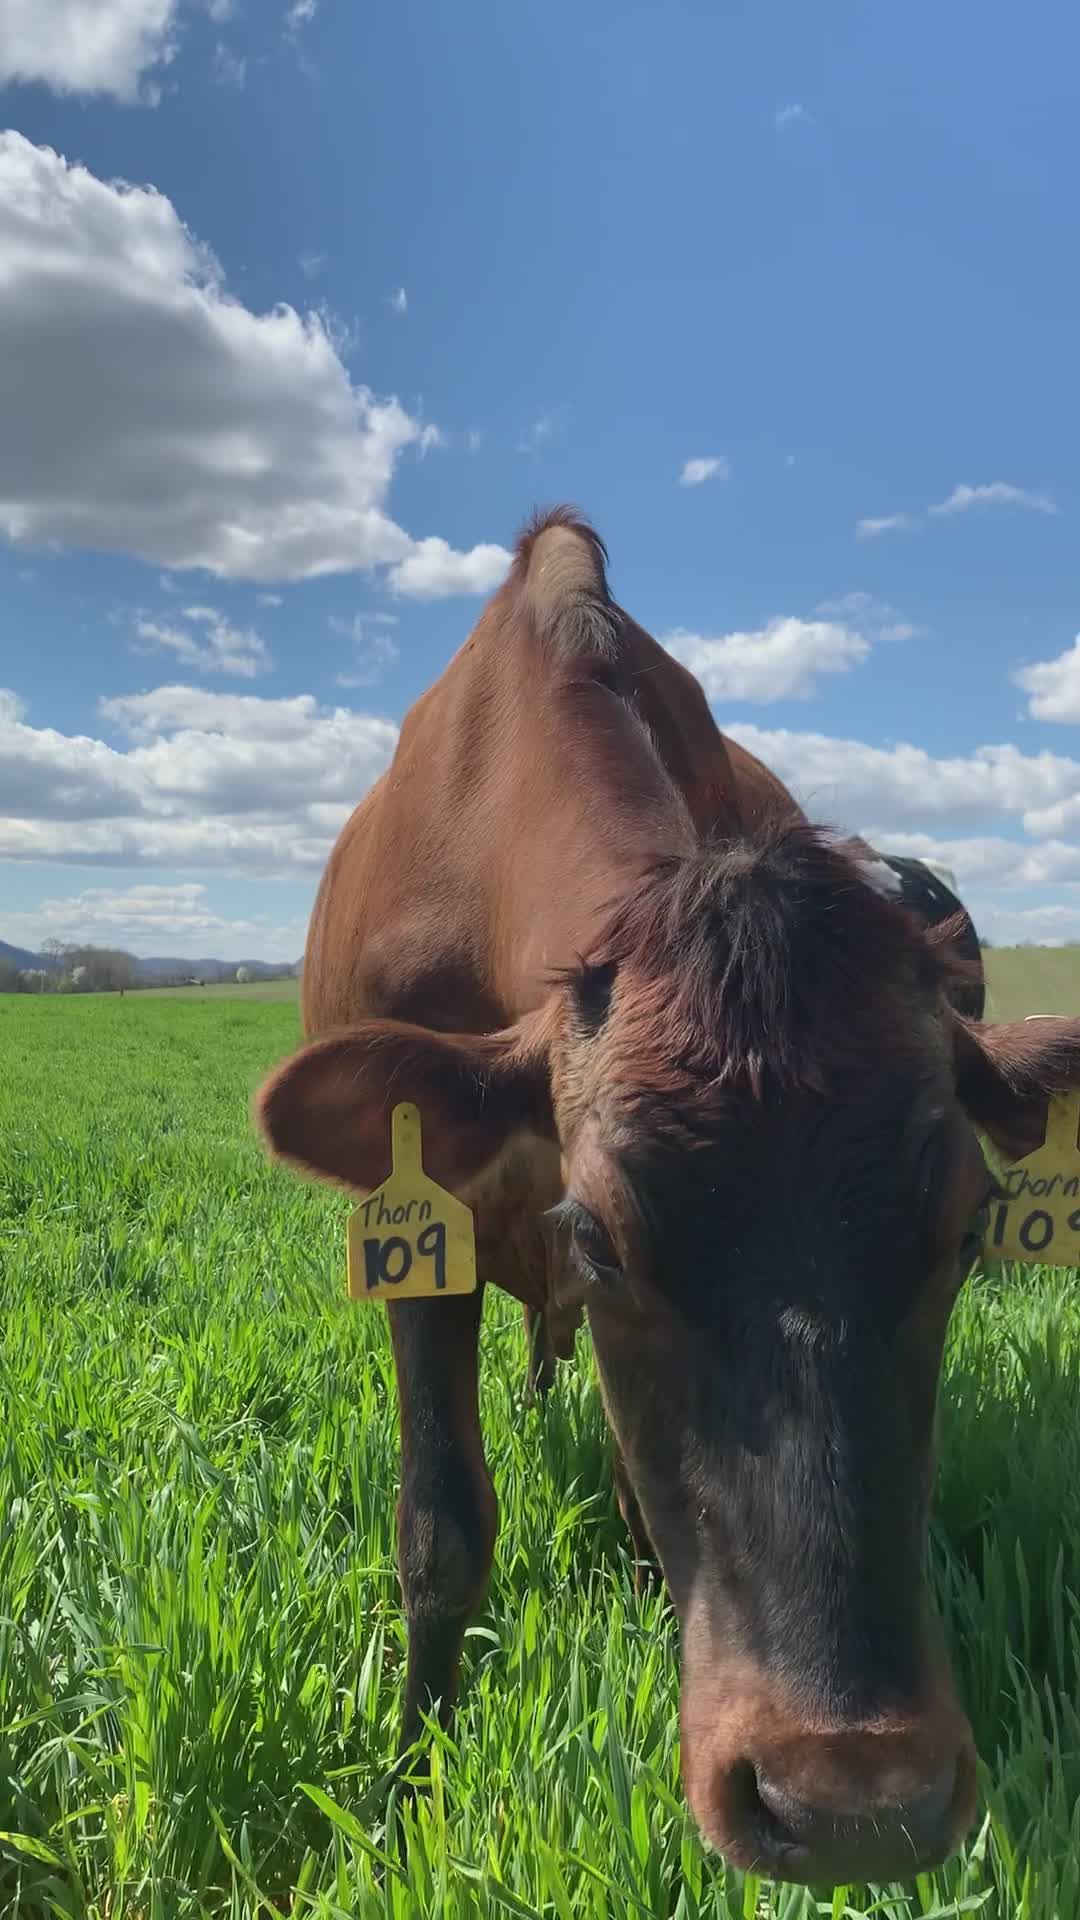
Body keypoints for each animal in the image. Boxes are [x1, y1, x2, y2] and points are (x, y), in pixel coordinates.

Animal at [255, 508, 1080, 1885]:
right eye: (599, 1234)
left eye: (969, 1229)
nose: (853, 1805)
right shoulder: (422, 1242)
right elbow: (439, 1532)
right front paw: (411, 1784)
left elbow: (654, 1503)